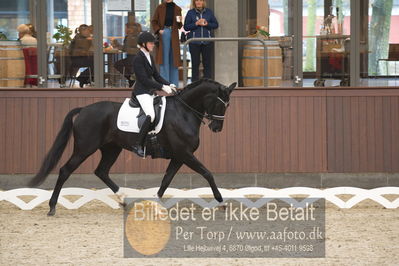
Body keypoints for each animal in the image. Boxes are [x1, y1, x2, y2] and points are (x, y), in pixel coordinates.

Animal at [30, 79, 238, 216]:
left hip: (112, 149)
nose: (216, 128)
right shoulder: (184, 154)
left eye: (228, 105)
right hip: (84, 149)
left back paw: (122, 199)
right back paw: (52, 207)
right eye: (221, 104)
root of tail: (84, 110)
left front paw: (156, 204)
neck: (184, 112)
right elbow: (207, 173)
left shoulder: (179, 157)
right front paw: (221, 202)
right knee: (65, 170)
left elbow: (166, 180)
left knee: (101, 171)